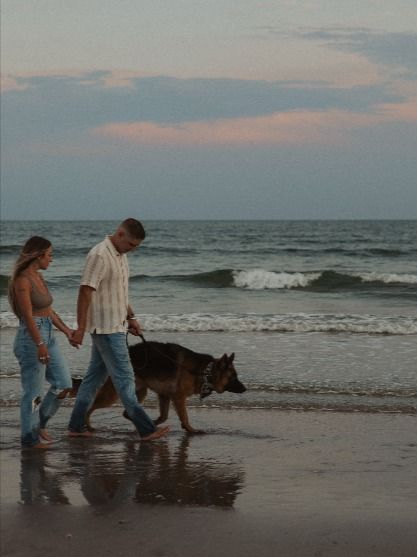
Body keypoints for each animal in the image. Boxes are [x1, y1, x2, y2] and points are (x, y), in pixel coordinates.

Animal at [72, 338, 245, 434]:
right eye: (234, 377)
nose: (245, 389)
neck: (205, 372)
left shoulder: (165, 395)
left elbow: (164, 416)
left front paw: (152, 424)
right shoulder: (178, 398)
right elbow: (184, 416)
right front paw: (191, 430)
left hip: (139, 392)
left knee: (127, 412)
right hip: (112, 395)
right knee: (90, 407)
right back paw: (87, 426)